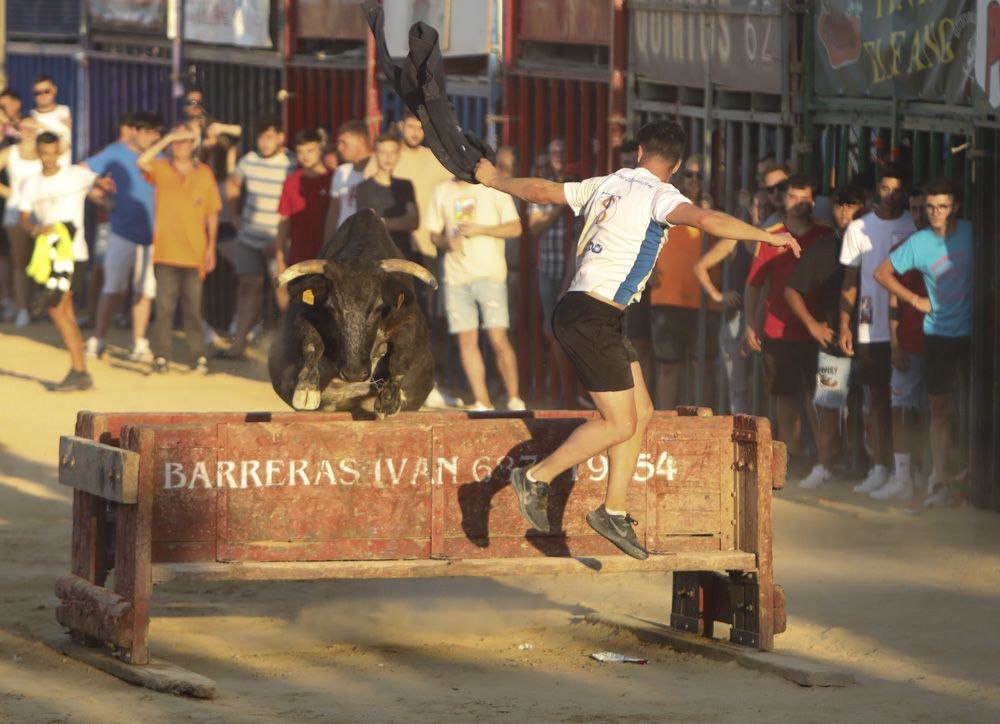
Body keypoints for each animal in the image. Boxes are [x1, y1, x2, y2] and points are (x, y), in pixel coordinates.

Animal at [268, 209, 436, 418]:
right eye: (332, 308)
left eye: (378, 307)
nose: (354, 373)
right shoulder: (305, 317)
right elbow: (312, 344)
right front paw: (306, 390)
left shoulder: (407, 320)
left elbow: (401, 356)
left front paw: (389, 400)